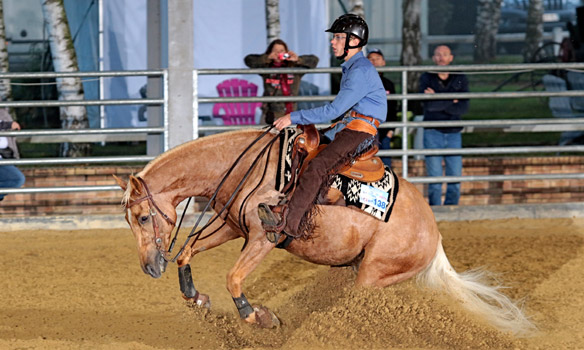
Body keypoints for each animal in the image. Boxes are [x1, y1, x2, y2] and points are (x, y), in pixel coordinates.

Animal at [113, 128, 532, 334]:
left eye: (144, 218)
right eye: (130, 221)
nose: (149, 267)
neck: (247, 165)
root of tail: (434, 233)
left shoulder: (262, 239)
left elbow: (233, 278)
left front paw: (259, 318)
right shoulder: (233, 228)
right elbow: (188, 250)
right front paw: (196, 297)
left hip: (374, 274)